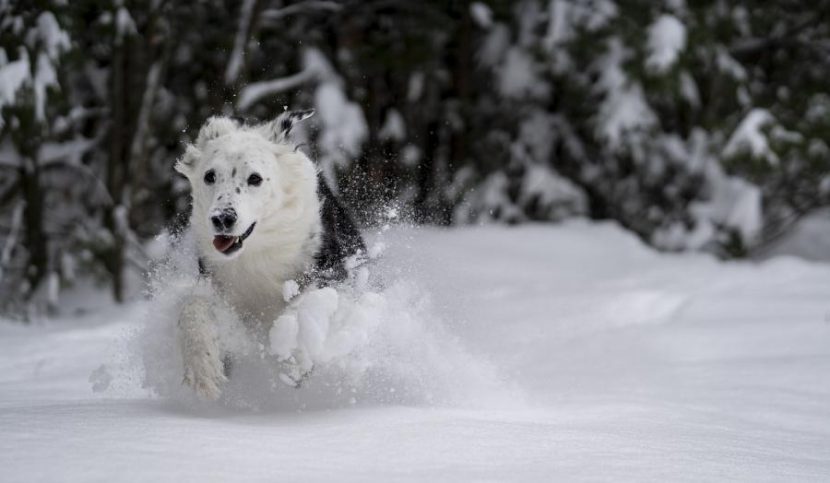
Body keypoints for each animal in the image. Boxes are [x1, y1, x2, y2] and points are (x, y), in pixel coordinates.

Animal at [172, 110, 364, 400]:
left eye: (255, 178)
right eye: (209, 176)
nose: (222, 218)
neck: (257, 250)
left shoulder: (333, 272)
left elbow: (303, 303)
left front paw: (293, 357)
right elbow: (193, 306)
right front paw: (203, 369)